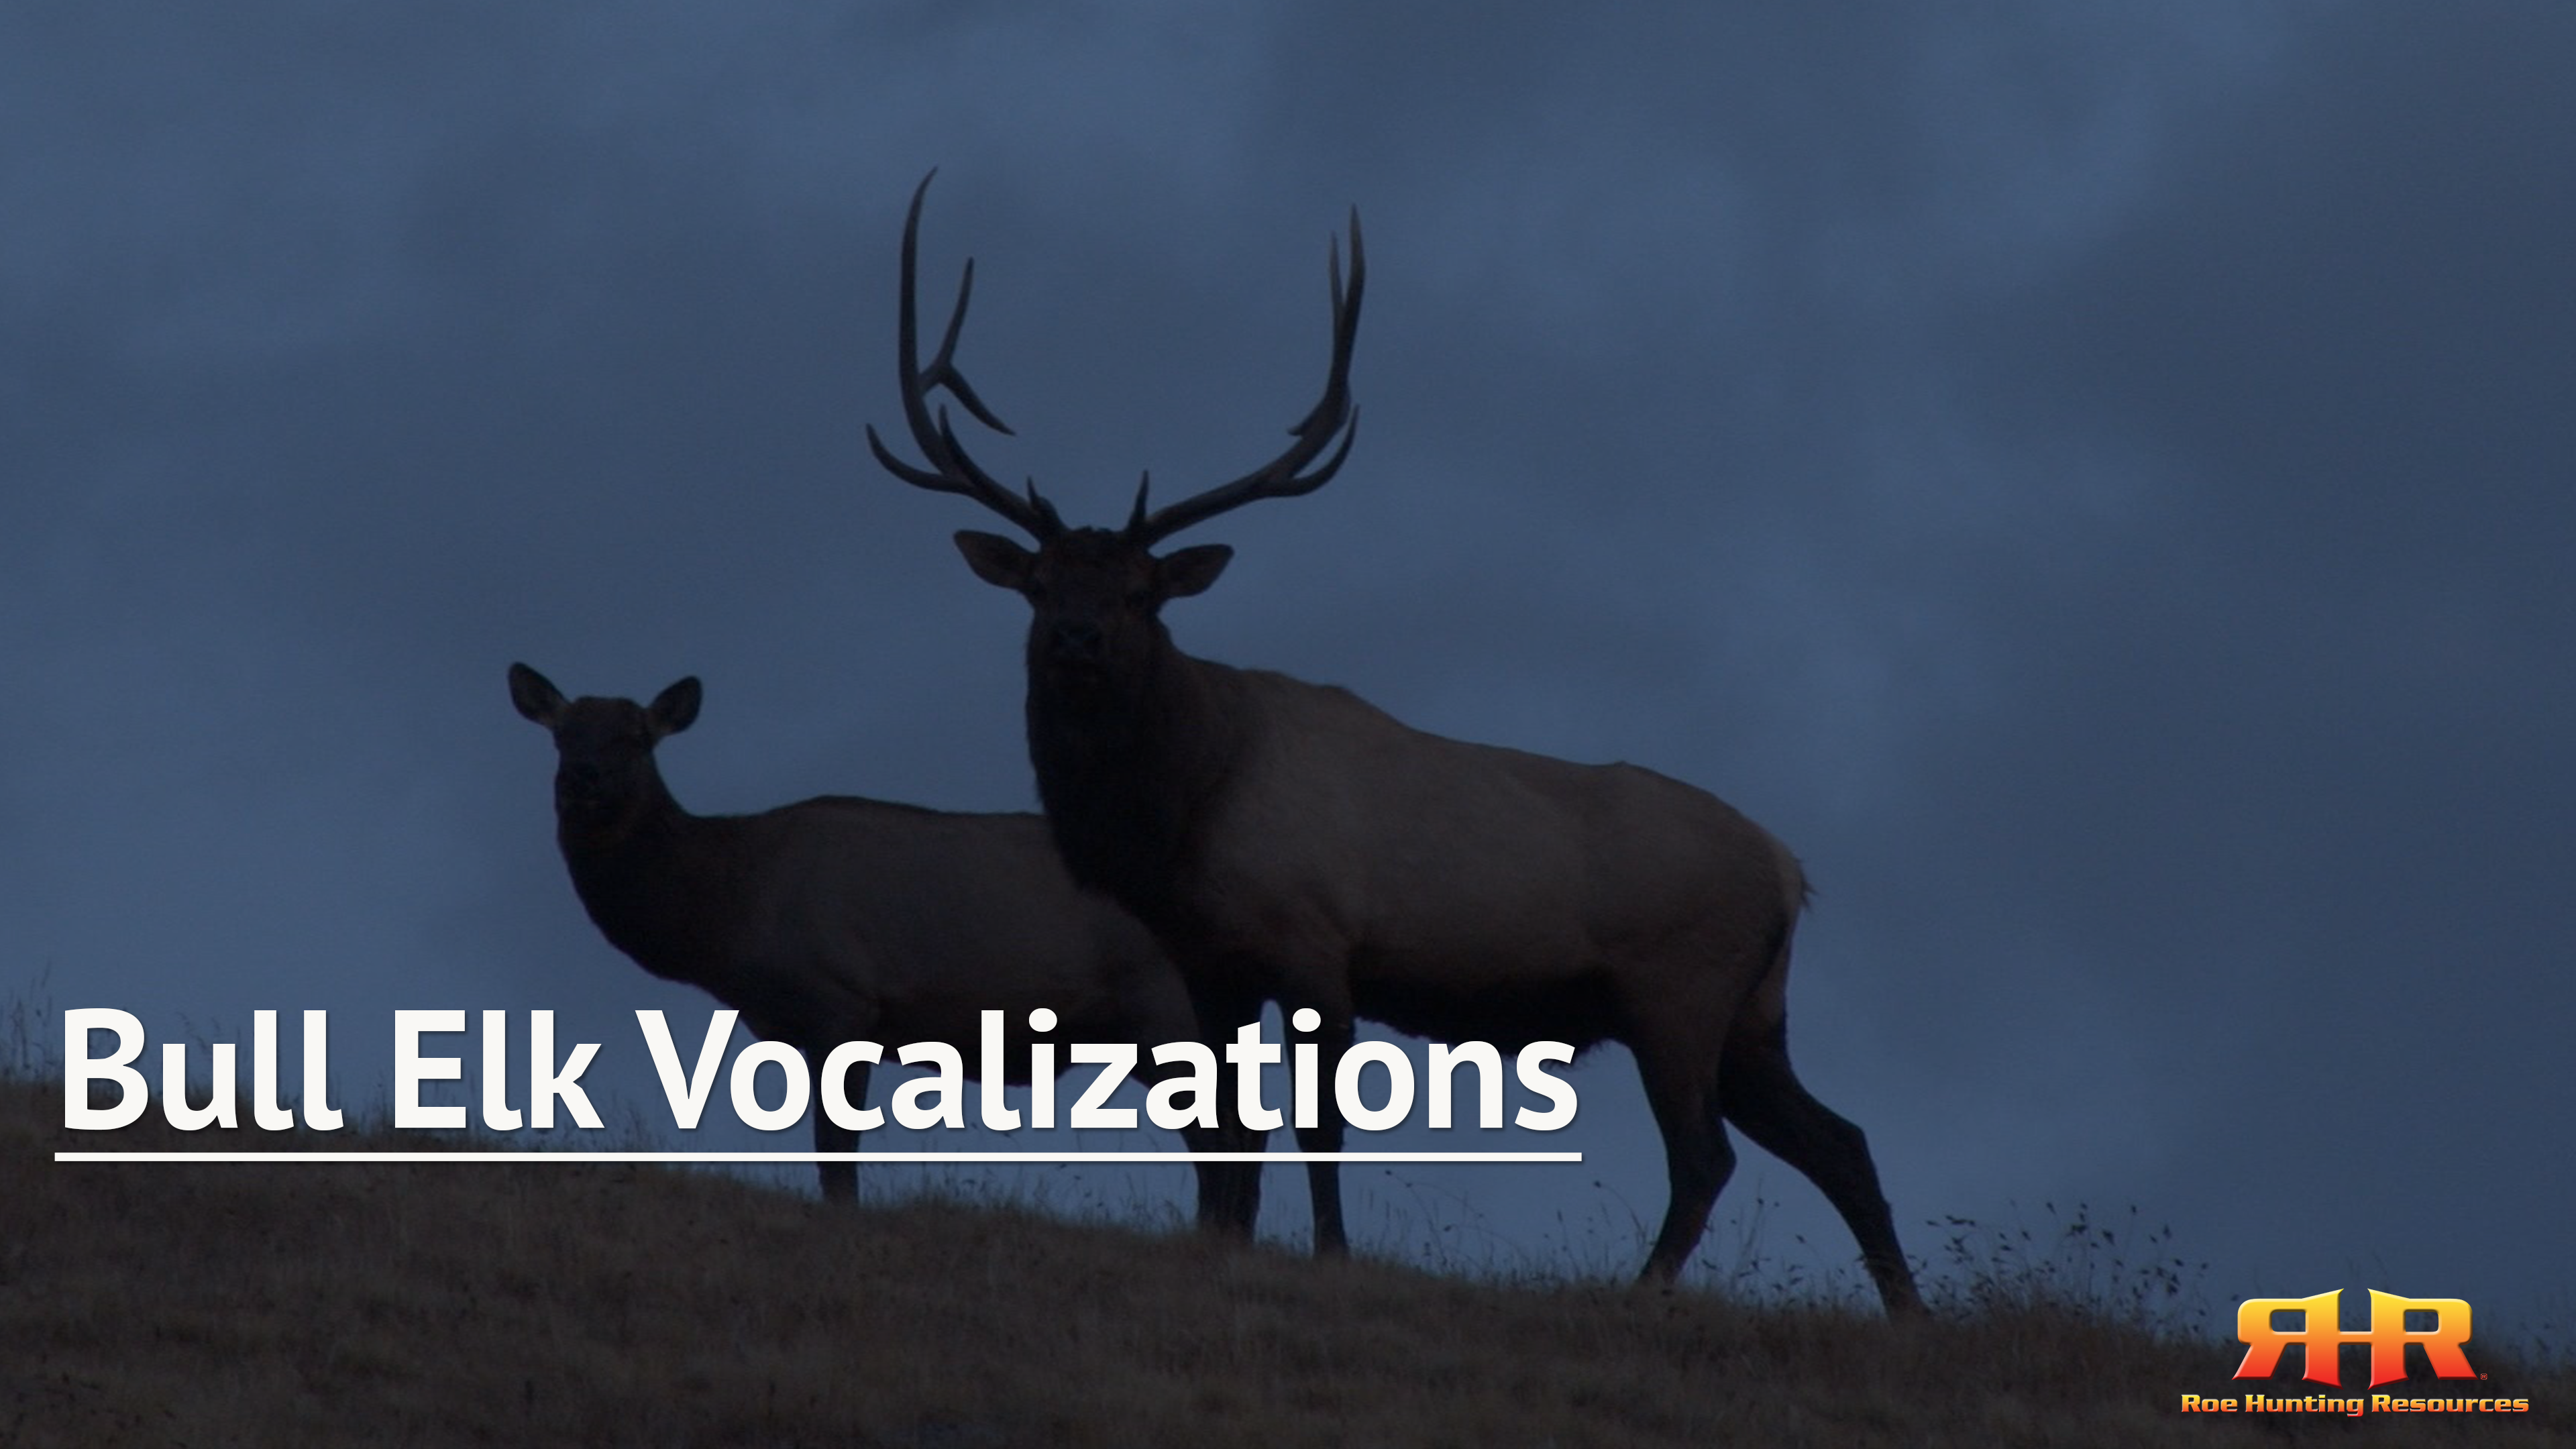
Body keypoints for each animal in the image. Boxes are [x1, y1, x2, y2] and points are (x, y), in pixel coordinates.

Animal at [507, 662, 1257, 1226]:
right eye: (562, 735)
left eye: (637, 737)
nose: (581, 780)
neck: (729, 907)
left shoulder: (840, 997)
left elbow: (835, 1150)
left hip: (1161, 1003)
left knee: (1223, 1138)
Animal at [862, 175, 1925, 1314]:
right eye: (1040, 583)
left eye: (1143, 594)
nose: (1076, 639)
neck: (1186, 811)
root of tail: (1789, 871)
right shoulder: (1211, 964)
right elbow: (1228, 1132)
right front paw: (1219, 1244)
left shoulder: (1317, 941)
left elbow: (1316, 1125)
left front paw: (1329, 1257)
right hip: (1754, 1015)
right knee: (1841, 1141)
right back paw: (1905, 1310)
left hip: (1678, 986)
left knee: (1707, 1156)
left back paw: (1642, 1293)